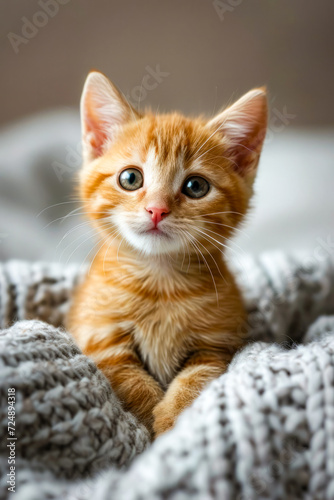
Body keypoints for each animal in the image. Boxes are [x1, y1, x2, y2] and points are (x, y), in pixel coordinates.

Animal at [66, 70, 268, 438]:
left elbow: (198, 378)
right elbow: (128, 380)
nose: (157, 209)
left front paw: (174, 421)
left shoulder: (216, 345)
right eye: (131, 178)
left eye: (196, 186)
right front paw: (151, 425)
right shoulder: (97, 336)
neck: (161, 283)